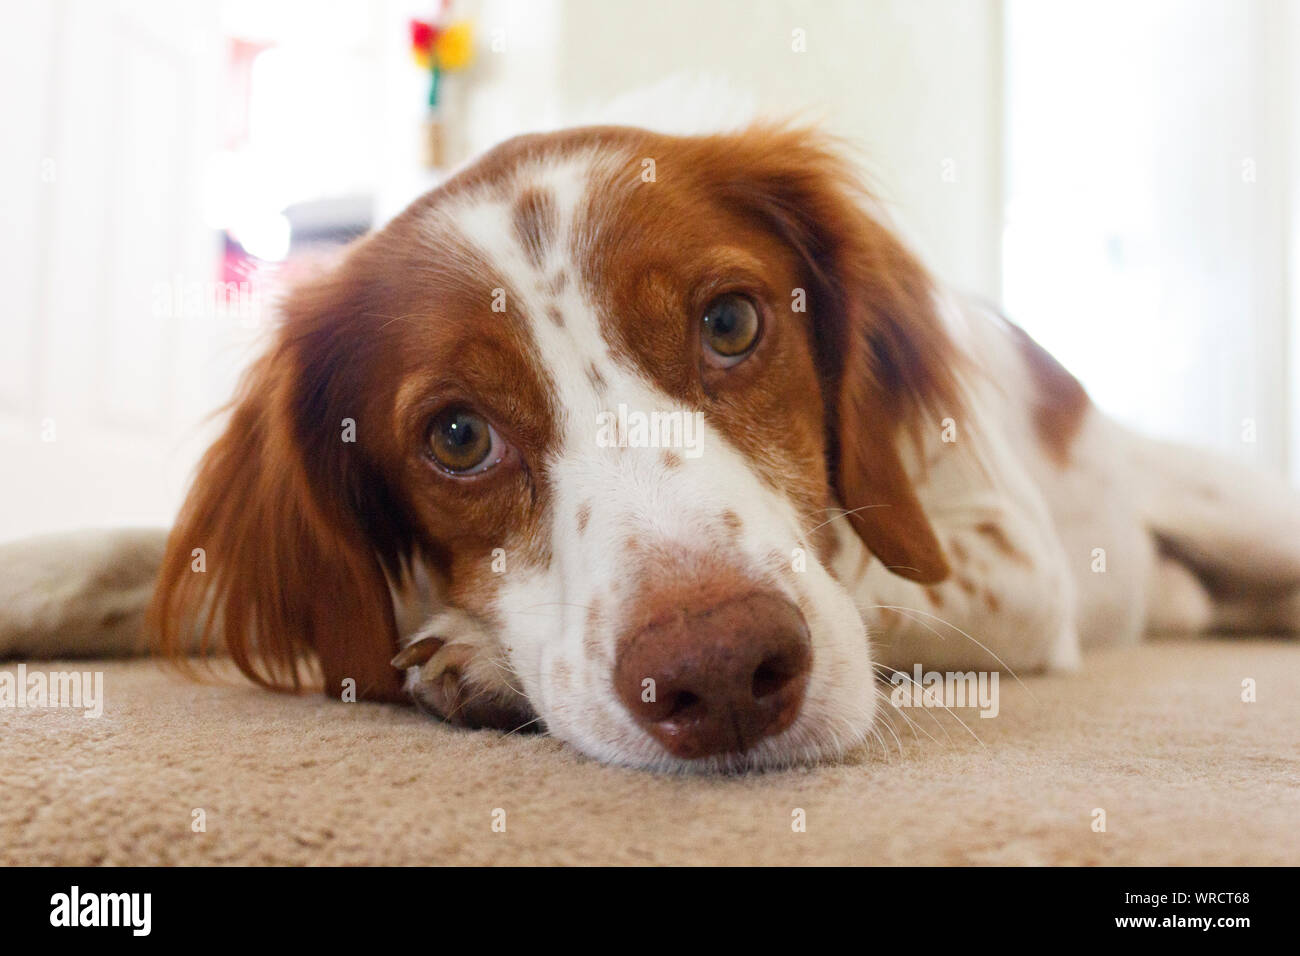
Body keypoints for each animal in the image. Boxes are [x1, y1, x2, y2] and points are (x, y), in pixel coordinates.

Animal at [2, 125, 1300, 770]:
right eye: (456, 435)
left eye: (729, 322)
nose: (719, 676)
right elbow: (126, 557)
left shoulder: (1014, 564)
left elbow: (867, 569)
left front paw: (481, 654)